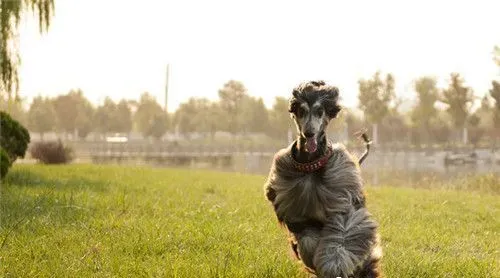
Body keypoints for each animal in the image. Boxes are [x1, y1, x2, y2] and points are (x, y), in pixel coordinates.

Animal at [264, 81, 380, 278]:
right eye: (301, 110)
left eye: (320, 111)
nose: (309, 133)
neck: (311, 165)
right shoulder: (297, 213)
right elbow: (308, 239)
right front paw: (314, 258)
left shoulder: (342, 197)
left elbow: (343, 232)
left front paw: (335, 263)